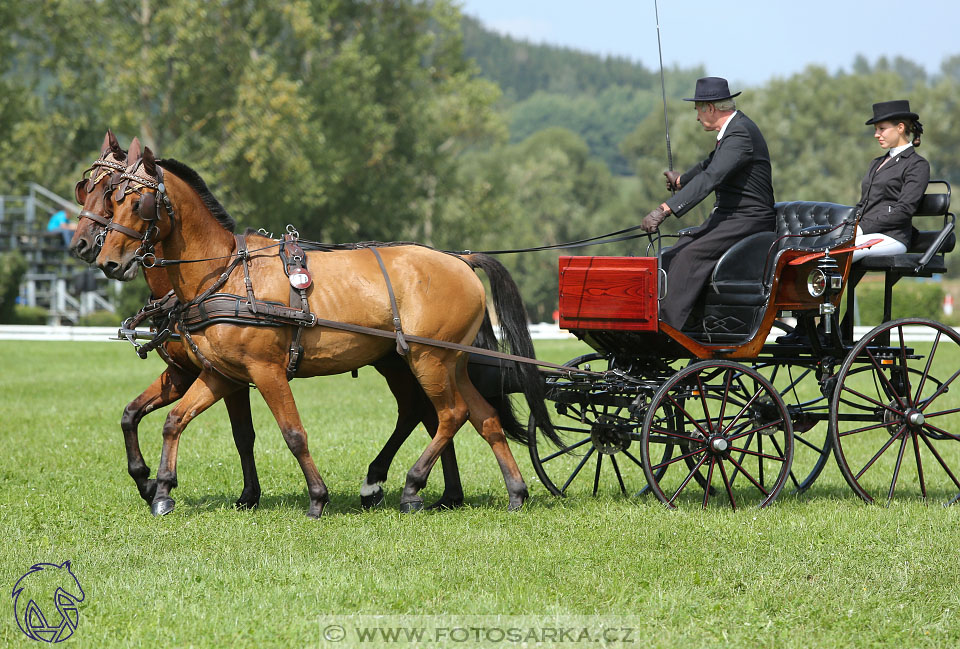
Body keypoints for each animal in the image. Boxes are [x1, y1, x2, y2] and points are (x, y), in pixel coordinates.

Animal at [95, 144, 556, 512]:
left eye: (138, 204)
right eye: (111, 198)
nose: (106, 261)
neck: (224, 274)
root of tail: (459, 260)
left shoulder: (266, 371)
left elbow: (293, 433)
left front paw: (317, 497)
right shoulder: (220, 373)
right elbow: (175, 420)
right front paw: (161, 490)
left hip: (428, 360)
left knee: (449, 414)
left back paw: (410, 487)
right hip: (448, 362)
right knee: (483, 418)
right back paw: (514, 492)